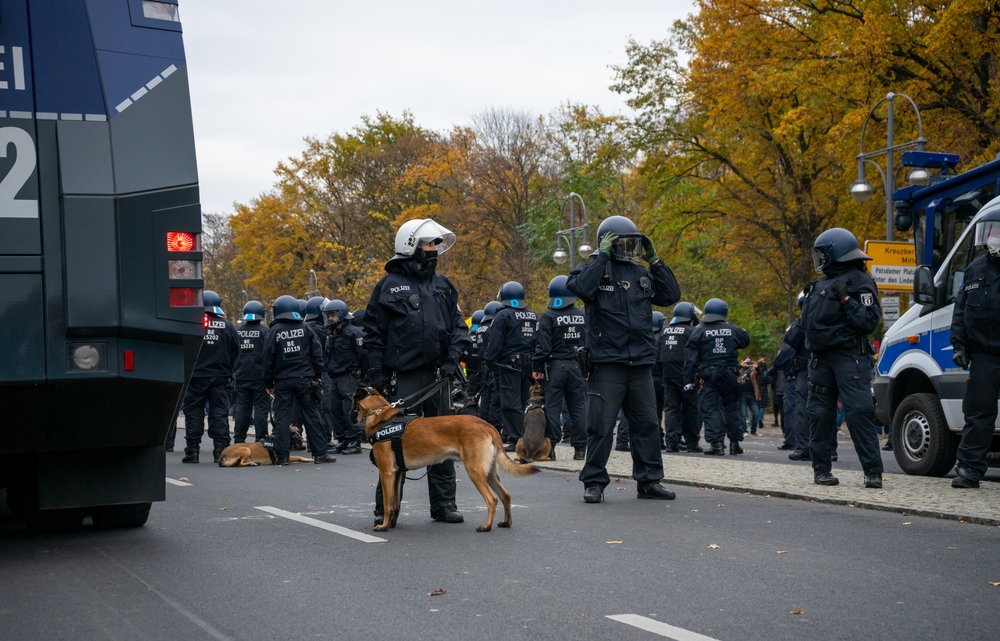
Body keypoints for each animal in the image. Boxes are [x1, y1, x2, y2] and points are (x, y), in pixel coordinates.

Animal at [354, 388, 540, 532]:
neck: (379, 413)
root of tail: (488, 425)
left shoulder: (387, 472)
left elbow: (387, 503)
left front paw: (384, 526)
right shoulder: (398, 473)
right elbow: (394, 503)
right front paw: (391, 524)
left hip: (475, 472)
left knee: (492, 499)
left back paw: (486, 527)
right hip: (489, 474)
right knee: (505, 496)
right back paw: (506, 522)